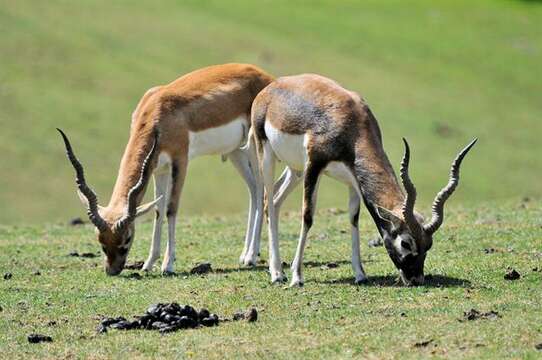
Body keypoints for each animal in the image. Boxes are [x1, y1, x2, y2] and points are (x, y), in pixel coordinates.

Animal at [57, 62, 274, 276]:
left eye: (127, 238)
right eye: (100, 240)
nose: (112, 270)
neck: (156, 113)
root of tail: (266, 77)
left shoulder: (180, 161)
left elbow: (171, 209)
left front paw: (167, 265)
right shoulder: (157, 169)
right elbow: (158, 211)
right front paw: (148, 263)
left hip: (254, 148)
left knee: (262, 191)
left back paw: (252, 257)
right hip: (235, 151)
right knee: (253, 190)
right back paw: (245, 255)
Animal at [251, 74, 476, 286]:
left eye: (428, 245)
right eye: (405, 243)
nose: (416, 279)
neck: (352, 124)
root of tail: (269, 89)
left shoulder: (353, 179)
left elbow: (354, 218)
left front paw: (360, 275)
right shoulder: (314, 166)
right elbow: (307, 217)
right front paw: (297, 277)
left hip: (296, 169)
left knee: (276, 200)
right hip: (268, 155)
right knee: (268, 201)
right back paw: (276, 273)